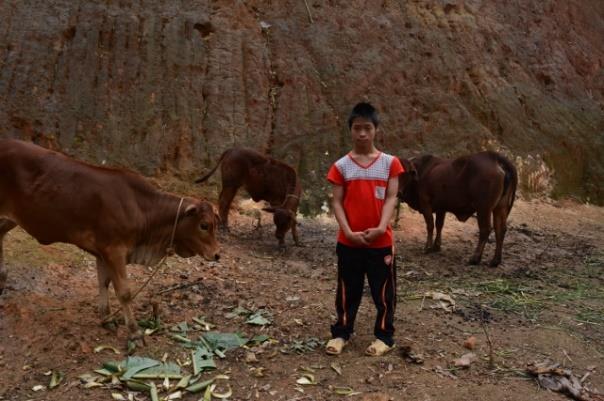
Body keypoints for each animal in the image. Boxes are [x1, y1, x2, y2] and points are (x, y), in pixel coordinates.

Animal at [0, 139, 222, 342]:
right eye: (204, 225)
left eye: (215, 224)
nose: (217, 254)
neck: (141, 209)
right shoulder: (114, 250)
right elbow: (124, 291)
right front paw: (134, 331)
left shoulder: (102, 252)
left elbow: (104, 283)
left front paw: (107, 318)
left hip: (9, 220)